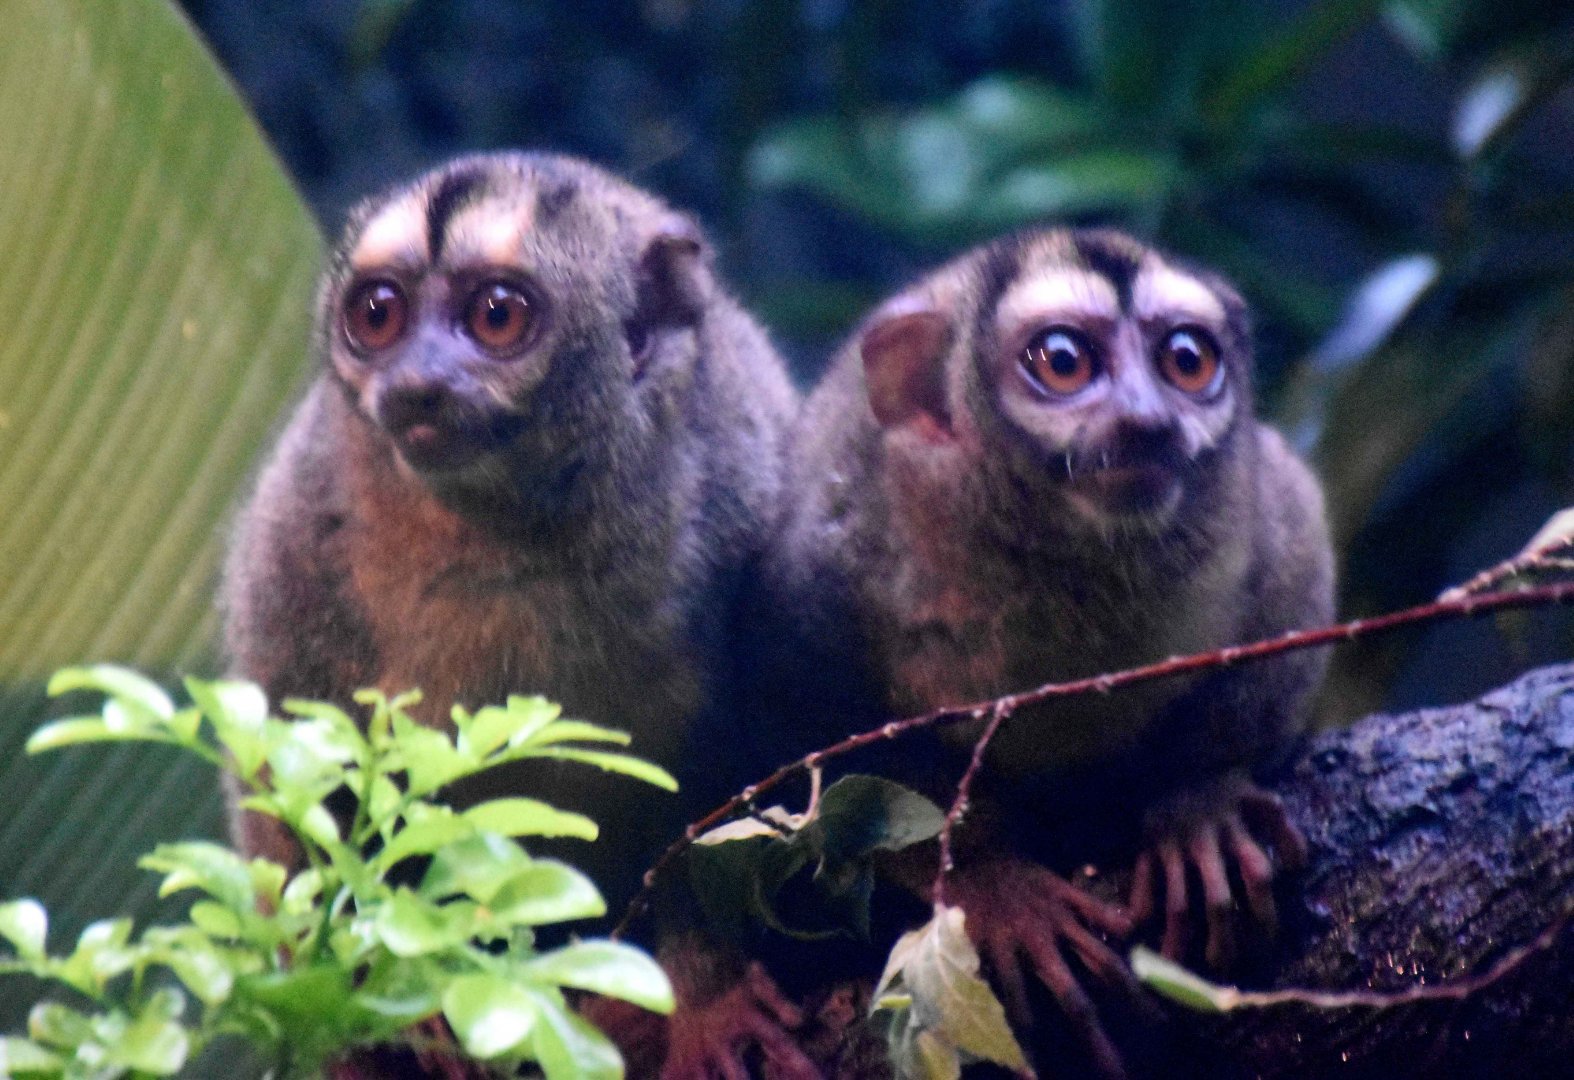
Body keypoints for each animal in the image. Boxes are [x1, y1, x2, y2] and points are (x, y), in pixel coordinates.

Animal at [220, 152, 819, 1079]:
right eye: (377, 314)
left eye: (497, 315)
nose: (415, 382)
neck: (503, 523)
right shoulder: (294, 532)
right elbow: (289, 777)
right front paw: (375, 1018)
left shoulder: (749, 491)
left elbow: (715, 795)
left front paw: (705, 1000)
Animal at [748, 227, 1334, 1076]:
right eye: (1063, 361)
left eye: (1187, 360)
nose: (1148, 420)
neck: (1056, 555)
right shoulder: (817, 566)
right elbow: (805, 744)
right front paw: (994, 887)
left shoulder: (1254, 507)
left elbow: (1294, 561)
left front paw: (1200, 807)